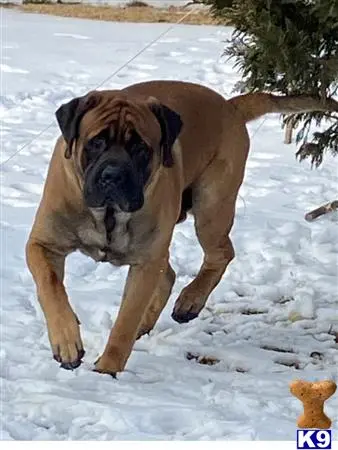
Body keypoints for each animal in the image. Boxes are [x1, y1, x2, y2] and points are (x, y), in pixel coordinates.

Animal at [26, 79, 338, 374]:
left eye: (140, 148)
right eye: (96, 142)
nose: (113, 175)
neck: (109, 215)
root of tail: (229, 106)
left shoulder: (145, 262)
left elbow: (125, 320)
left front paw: (107, 369)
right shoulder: (43, 243)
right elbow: (51, 287)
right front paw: (67, 343)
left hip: (211, 207)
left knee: (220, 253)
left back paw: (190, 301)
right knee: (172, 273)